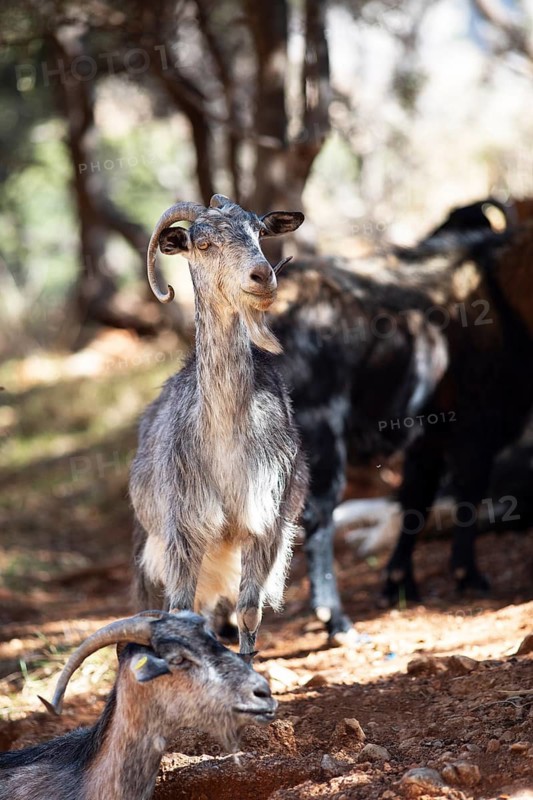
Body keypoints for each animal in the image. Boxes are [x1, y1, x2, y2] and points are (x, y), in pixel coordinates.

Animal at [130, 195, 308, 657]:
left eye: (259, 232)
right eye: (204, 243)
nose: (262, 276)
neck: (225, 439)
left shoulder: (265, 522)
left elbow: (248, 611)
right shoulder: (182, 530)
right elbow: (177, 611)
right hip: (149, 538)